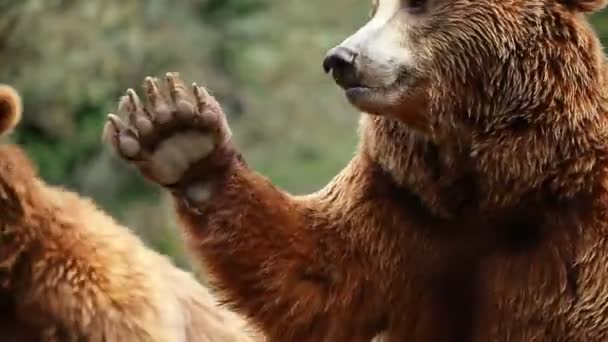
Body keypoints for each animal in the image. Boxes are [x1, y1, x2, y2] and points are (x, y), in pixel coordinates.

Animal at [103, 0, 608, 340]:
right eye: (375, 6)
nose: (341, 60)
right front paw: (177, 133)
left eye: (419, 3)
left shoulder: (584, 227)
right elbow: (321, 275)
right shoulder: (408, 205)